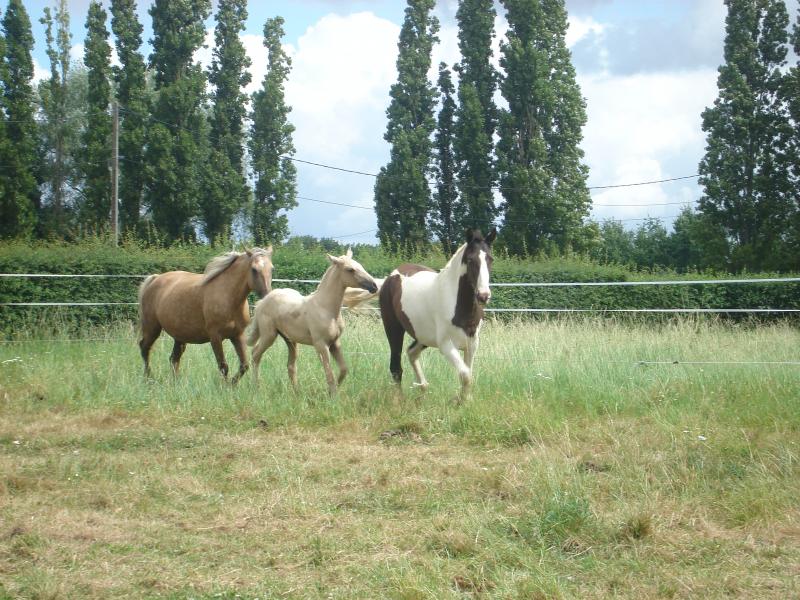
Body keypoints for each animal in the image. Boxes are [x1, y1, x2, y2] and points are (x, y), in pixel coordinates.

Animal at [139, 247, 274, 380]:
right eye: (254, 269)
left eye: (272, 268)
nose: (268, 296)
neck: (228, 296)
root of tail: (155, 279)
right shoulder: (215, 337)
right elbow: (223, 366)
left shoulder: (238, 335)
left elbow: (244, 365)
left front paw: (232, 383)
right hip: (152, 328)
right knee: (144, 347)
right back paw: (148, 377)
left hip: (179, 336)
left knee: (174, 359)